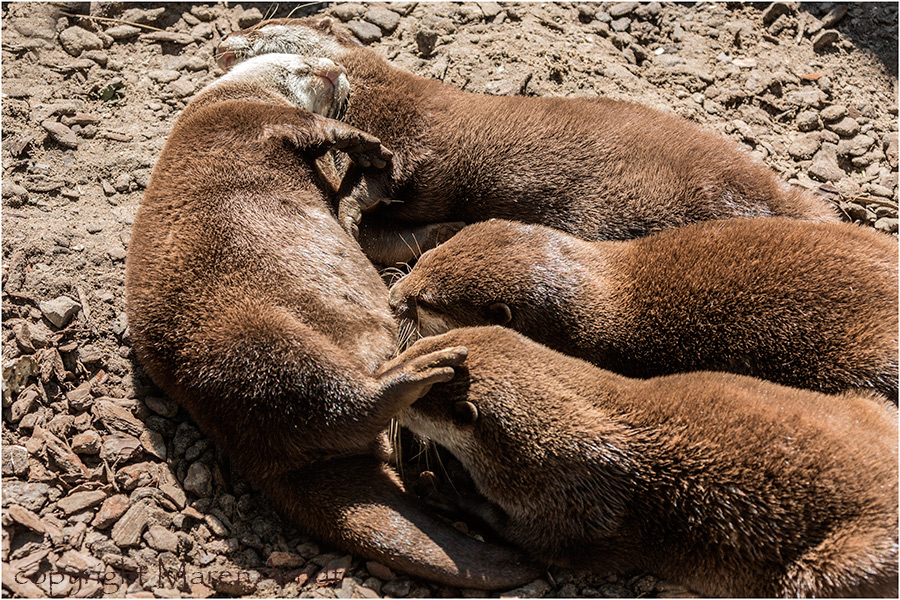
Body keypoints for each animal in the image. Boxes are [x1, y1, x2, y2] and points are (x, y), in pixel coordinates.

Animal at [123, 54, 536, 588]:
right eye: (301, 59)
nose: (334, 67)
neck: (225, 97)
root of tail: (261, 458)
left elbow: (367, 229)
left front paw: (445, 228)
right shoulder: (247, 118)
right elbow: (310, 126)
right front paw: (368, 145)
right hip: (261, 345)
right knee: (342, 397)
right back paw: (422, 370)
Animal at [216, 17, 836, 264]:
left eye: (258, 30)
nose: (222, 43)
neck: (377, 90)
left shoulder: (416, 131)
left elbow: (382, 180)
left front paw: (351, 210)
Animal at [390, 326, 896, 596]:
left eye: (418, 396)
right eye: (419, 346)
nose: (382, 371)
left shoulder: (575, 500)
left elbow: (535, 539)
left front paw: (444, 490)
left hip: (834, 564)